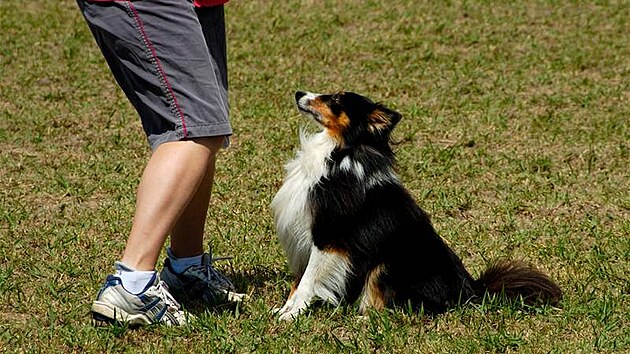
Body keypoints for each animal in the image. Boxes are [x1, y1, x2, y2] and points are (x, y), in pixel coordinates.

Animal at [272, 90, 564, 320]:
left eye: (334, 99)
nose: (298, 93)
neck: (340, 152)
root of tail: (471, 290)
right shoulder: (307, 237)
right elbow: (299, 280)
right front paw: (284, 309)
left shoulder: (328, 237)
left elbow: (308, 280)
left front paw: (293, 315)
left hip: (387, 264)